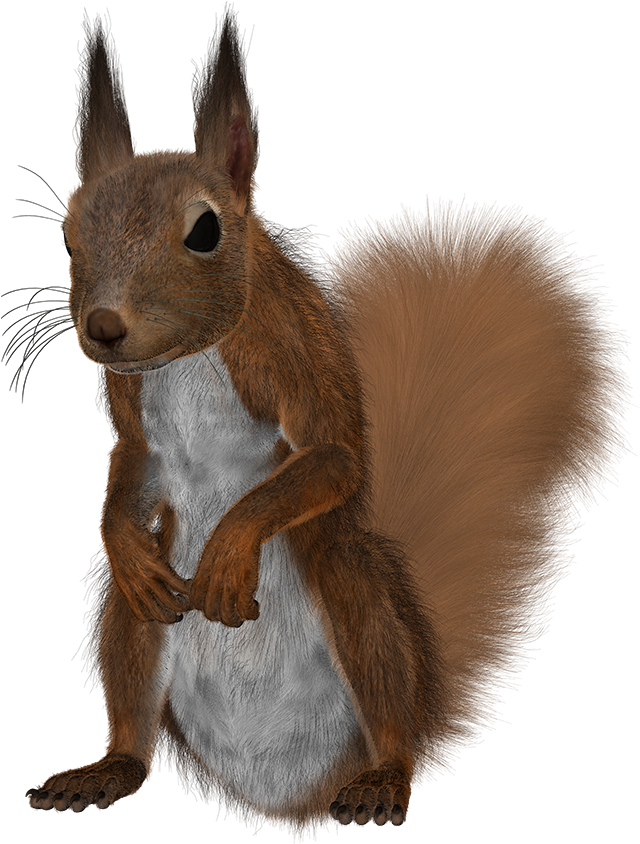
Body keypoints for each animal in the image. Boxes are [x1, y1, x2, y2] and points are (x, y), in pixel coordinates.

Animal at [15, 7, 632, 834]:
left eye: (205, 231)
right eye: (69, 232)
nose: (104, 329)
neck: (188, 358)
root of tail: (291, 799)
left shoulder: (292, 357)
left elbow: (333, 457)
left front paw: (229, 551)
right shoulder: (134, 418)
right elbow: (129, 465)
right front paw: (120, 536)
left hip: (352, 588)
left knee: (389, 711)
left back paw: (383, 781)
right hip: (133, 621)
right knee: (136, 711)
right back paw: (105, 767)